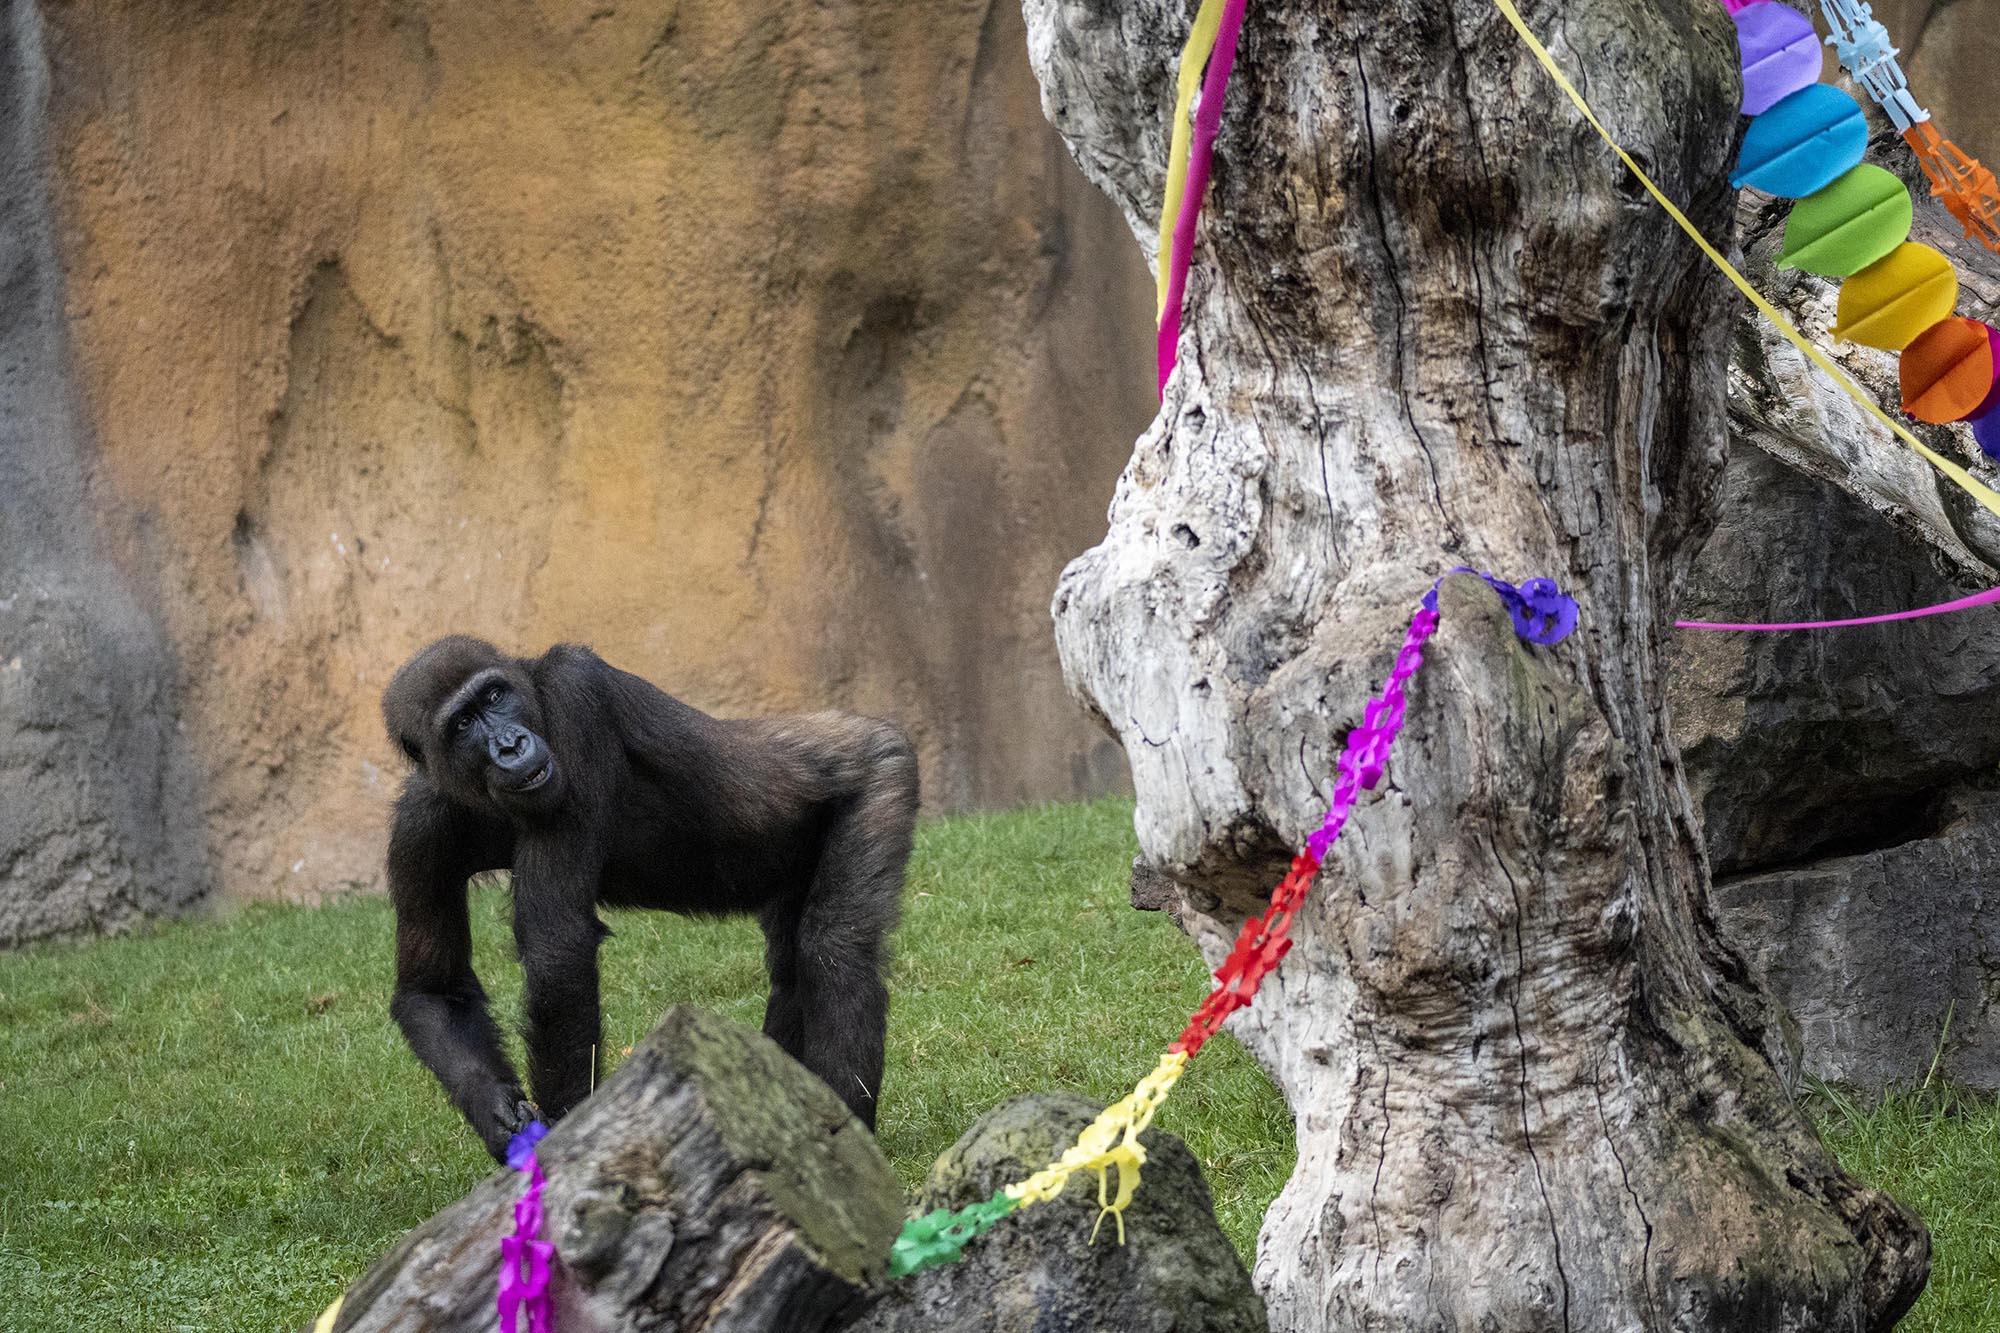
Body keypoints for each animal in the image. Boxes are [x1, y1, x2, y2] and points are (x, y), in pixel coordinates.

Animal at [378, 632, 916, 1152]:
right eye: (463, 723)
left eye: (494, 695)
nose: (510, 745)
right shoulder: (419, 823)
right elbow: (434, 991)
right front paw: (495, 1110)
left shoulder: (574, 697)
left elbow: (558, 949)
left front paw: (565, 1140)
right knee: (791, 970)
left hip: (883, 770)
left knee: (836, 954)